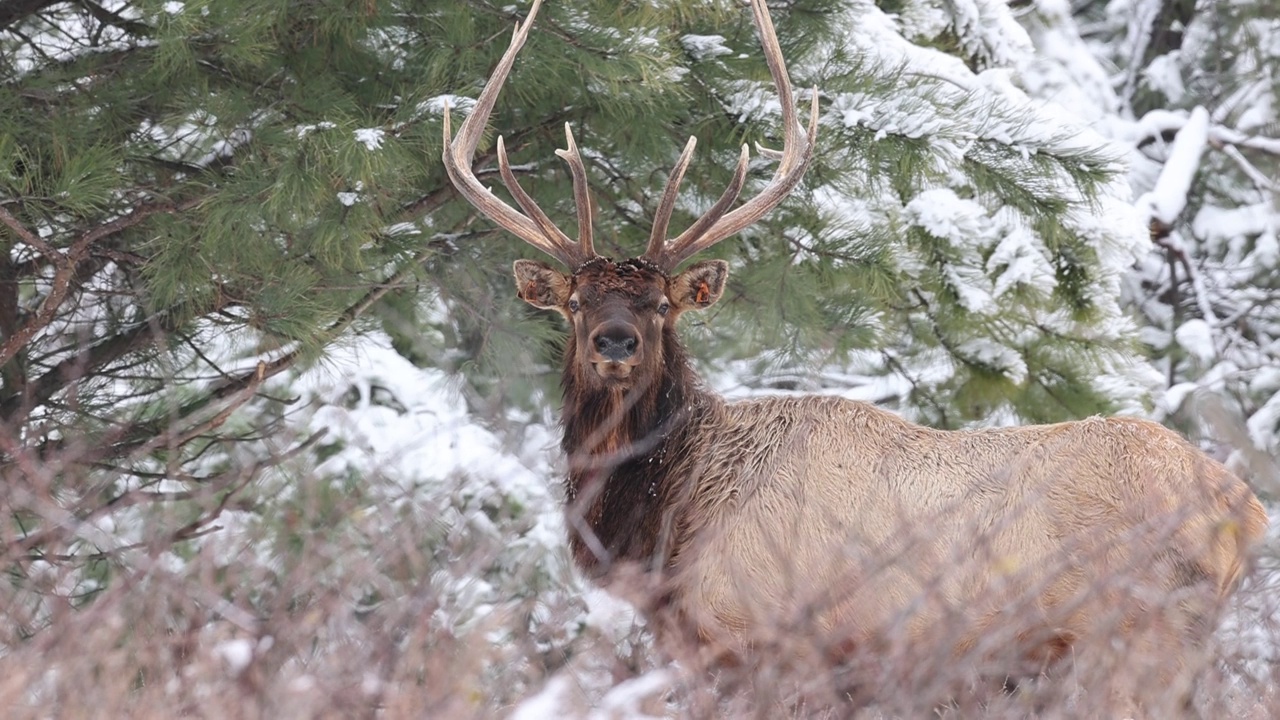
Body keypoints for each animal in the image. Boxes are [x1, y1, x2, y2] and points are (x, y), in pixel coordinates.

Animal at [442, 0, 1269, 707]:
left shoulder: (764, 645)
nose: (616, 340)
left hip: (1134, 639)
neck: (667, 530)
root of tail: (1248, 510)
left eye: (662, 305)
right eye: (577, 302)